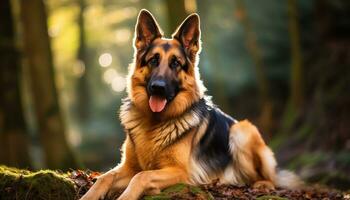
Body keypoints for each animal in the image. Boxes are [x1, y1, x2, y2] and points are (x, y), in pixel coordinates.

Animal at [80, 9, 300, 200]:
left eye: (176, 63)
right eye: (153, 60)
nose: (158, 88)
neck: (154, 122)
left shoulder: (180, 172)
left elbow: (142, 176)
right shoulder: (128, 167)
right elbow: (104, 177)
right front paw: (89, 196)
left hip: (242, 130)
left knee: (270, 178)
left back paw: (261, 184)